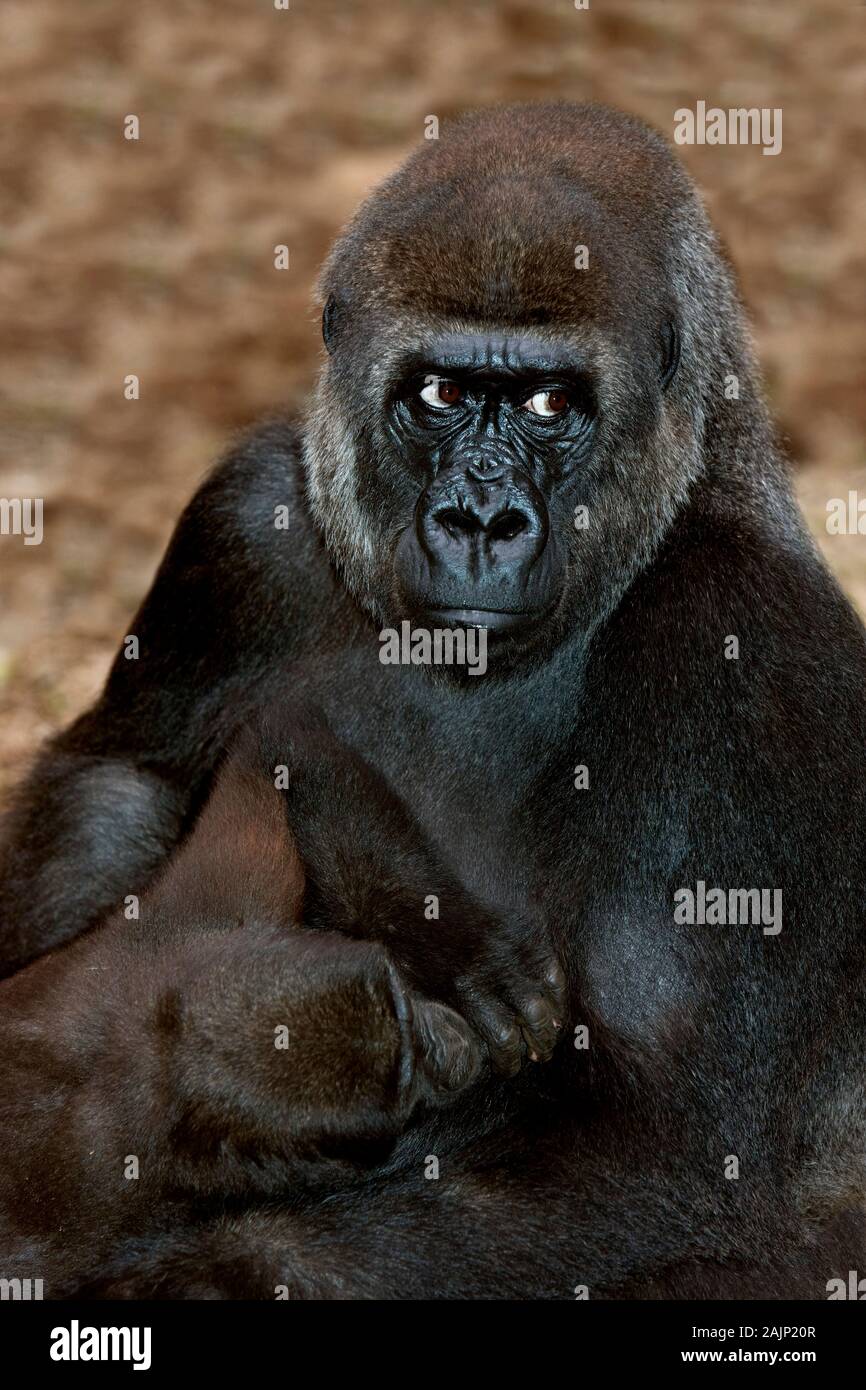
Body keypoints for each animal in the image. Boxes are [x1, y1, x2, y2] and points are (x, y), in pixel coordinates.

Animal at [0, 102, 865, 1298]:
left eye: (549, 402)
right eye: (444, 393)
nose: (479, 522)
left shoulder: (748, 653)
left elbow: (658, 1137)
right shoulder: (246, 517)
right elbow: (123, 783)